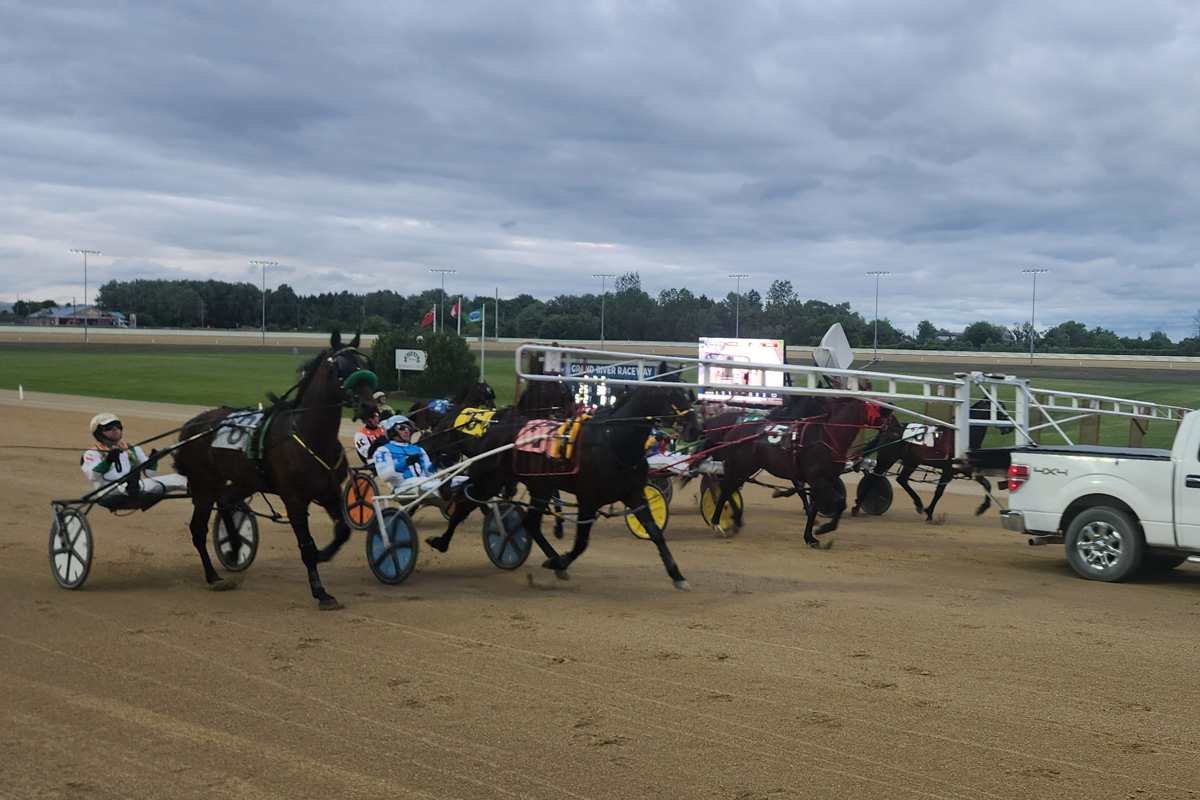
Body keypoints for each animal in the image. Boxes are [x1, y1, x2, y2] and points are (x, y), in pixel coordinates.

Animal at [174, 328, 376, 609]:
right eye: (341, 368)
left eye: (365, 365)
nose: (370, 406)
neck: (309, 435)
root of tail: (191, 426)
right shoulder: (294, 499)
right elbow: (306, 545)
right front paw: (321, 592)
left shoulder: (330, 491)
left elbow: (343, 530)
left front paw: (324, 553)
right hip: (204, 485)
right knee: (198, 529)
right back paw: (213, 576)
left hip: (244, 480)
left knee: (225, 501)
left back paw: (234, 546)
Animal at [427, 371, 700, 592]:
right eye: (671, 393)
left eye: (689, 392)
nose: (694, 428)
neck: (613, 441)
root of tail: (497, 425)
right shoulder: (588, 500)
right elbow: (581, 542)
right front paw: (562, 560)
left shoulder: (634, 494)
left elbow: (656, 533)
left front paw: (677, 576)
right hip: (489, 478)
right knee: (464, 504)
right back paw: (441, 541)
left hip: (540, 486)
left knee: (530, 523)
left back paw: (553, 558)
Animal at [854, 398, 1012, 522]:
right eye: (998, 409)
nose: (1009, 428)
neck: (959, 438)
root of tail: (887, 429)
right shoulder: (948, 470)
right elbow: (939, 491)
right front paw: (929, 513)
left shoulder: (966, 468)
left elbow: (986, 484)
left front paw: (981, 508)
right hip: (887, 459)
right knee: (873, 478)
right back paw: (857, 506)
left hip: (911, 461)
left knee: (901, 479)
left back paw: (918, 504)